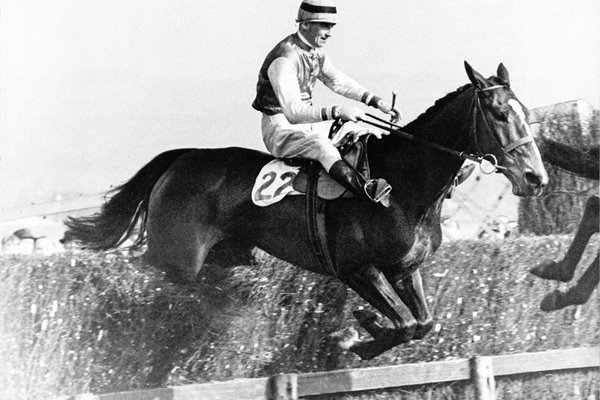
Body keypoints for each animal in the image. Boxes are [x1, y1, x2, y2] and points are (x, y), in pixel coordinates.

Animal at [64, 62, 548, 360]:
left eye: (525, 111)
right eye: (499, 113)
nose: (536, 177)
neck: (404, 188)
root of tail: (182, 158)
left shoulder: (404, 270)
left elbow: (422, 323)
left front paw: (364, 331)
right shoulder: (359, 270)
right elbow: (405, 323)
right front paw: (359, 329)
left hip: (226, 255)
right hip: (177, 256)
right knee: (141, 268)